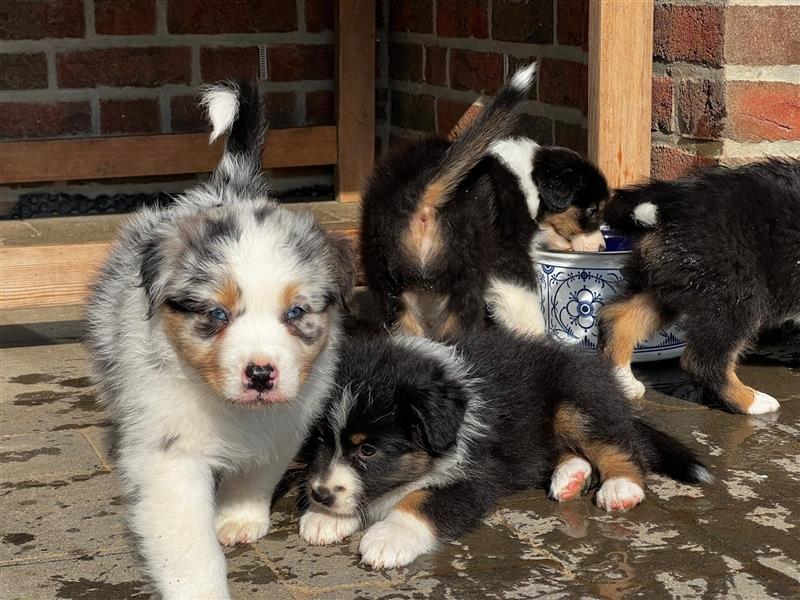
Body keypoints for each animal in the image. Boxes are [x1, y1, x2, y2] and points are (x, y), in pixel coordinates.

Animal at [86, 81, 354, 600]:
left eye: (295, 313)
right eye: (216, 314)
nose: (261, 374)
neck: (231, 409)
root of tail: (227, 188)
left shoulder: (285, 421)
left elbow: (257, 473)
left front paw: (240, 518)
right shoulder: (171, 455)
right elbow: (189, 545)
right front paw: (199, 586)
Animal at [296, 330, 708, 568]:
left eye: (367, 451)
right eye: (320, 440)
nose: (320, 494)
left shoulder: (475, 476)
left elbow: (421, 500)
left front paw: (387, 538)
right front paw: (325, 517)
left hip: (578, 401)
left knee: (619, 444)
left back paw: (621, 487)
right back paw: (570, 477)